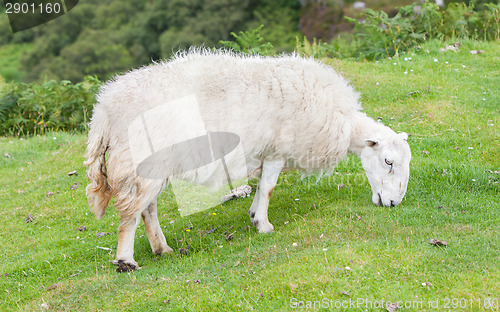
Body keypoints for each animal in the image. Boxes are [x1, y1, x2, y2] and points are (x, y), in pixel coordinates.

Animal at [86, 50, 412, 272]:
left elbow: (261, 188)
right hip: (137, 163)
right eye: (388, 161)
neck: (342, 122)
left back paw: (161, 248)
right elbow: (268, 188)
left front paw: (255, 215)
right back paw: (126, 260)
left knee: (147, 209)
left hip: (151, 167)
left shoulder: (264, 153)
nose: (393, 204)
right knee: (130, 213)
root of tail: (103, 109)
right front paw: (264, 225)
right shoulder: (278, 150)